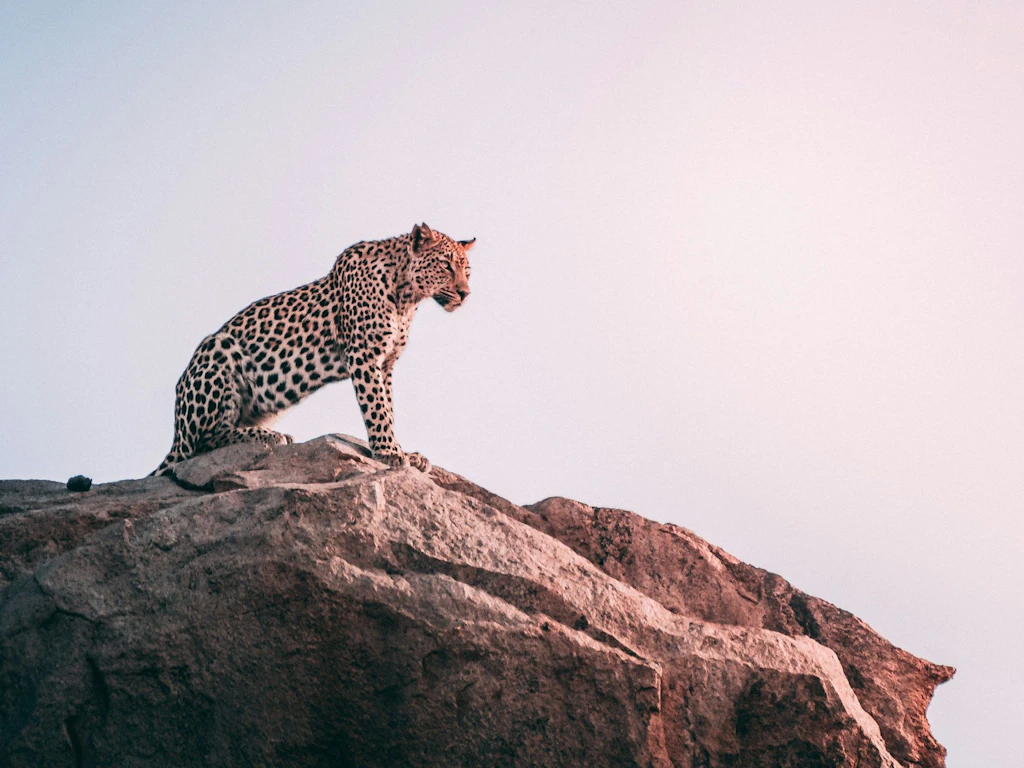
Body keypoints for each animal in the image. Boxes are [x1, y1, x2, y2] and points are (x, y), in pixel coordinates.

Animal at [150, 223, 473, 476]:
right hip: (218, 348)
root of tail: (176, 434)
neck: (407, 296)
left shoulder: (386, 364)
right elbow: (377, 407)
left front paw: (403, 451)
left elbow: (389, 407)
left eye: (467, 271)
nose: (465, 293)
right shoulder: (364, 355)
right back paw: (269, 436)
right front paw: (389, 452)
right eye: (446, 265)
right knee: (203, 442)